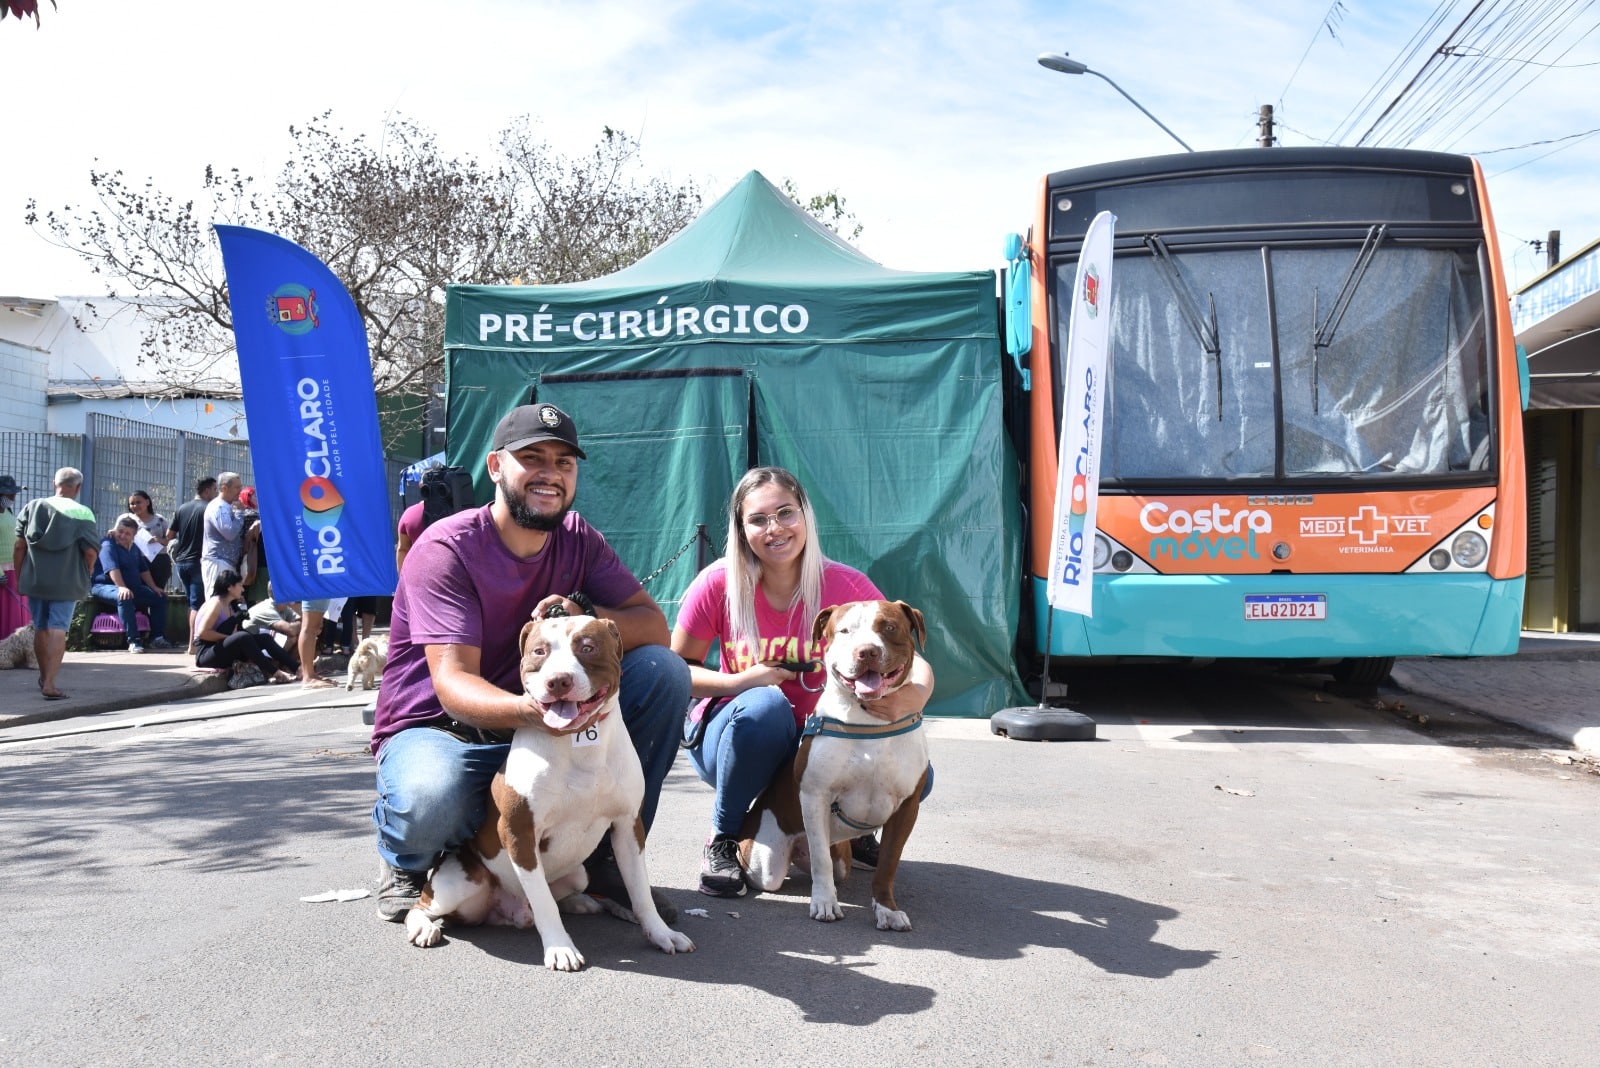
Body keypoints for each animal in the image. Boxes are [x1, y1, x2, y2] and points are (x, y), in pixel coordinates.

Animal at [403, 613, 691, 972]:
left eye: (587, 647)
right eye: (539, 651)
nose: (558, 681)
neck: (580, 740)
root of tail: (506, 911)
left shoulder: (627, 826)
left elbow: (640, 892)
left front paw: (660, 933)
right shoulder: (519, 832)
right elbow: (543, 902)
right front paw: (560, 948)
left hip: (579, 872)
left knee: (563, 892)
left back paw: (582, 902)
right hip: (459, 884)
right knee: (421, 906)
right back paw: (423, 927)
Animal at [742, 601, 934, 933]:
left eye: (889, 627)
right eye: (845, 631)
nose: (867, 651)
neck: (868, 720)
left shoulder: (906, 807)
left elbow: (888, 864)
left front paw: (887, 909)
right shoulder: (815, 796)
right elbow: (821, 860)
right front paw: (824, 903)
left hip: (841, 857)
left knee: (837, 868)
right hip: (764, 865)